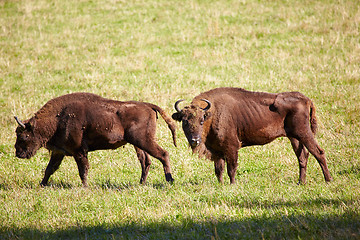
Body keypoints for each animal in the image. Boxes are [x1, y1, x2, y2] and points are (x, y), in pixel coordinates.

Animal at [14, 93, 177, 187]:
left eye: (24, 136)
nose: (18, 153)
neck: (57, 118)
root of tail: (147, 105)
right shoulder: (59, 152)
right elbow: (50, 169)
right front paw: (42, 184)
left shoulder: (79, 152)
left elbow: (83, 170)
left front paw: (85, 186)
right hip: (138, 144)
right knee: (146, 161)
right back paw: (142, 183)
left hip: (144, 141)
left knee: (163, 154)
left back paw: (169, 180)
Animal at [173, 87, 334, 185]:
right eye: (184, 122)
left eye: (201, 120)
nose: (194, 140)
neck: (212, 113)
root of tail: (306, 99)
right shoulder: (217, 151)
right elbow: (219, 170)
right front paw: (221, 185)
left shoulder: (232, 148)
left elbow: (231, 169)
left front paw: (232, 185)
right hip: (294, 137)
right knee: (302, 157)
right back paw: (301, 182)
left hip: (304, 133)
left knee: (318, 152)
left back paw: (328, 180)